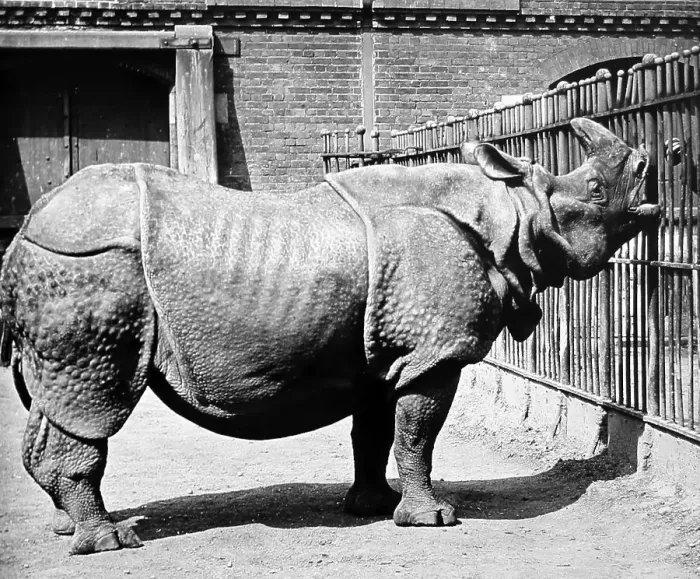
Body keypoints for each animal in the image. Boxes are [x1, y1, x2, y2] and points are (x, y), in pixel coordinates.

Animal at [0, 118, 658, 555]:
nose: (651, 165)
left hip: (67, 270)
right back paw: (110, 541)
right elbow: (418, 433)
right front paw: (434, 519)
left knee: (53, 399)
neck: (511, 211)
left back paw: (69, 526)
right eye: (596, 191)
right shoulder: (433, 352)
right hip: (94, 267)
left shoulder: (385, 352)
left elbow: (375, 432)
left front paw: (373, 507)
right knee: (95, 398)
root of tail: (25, 231)